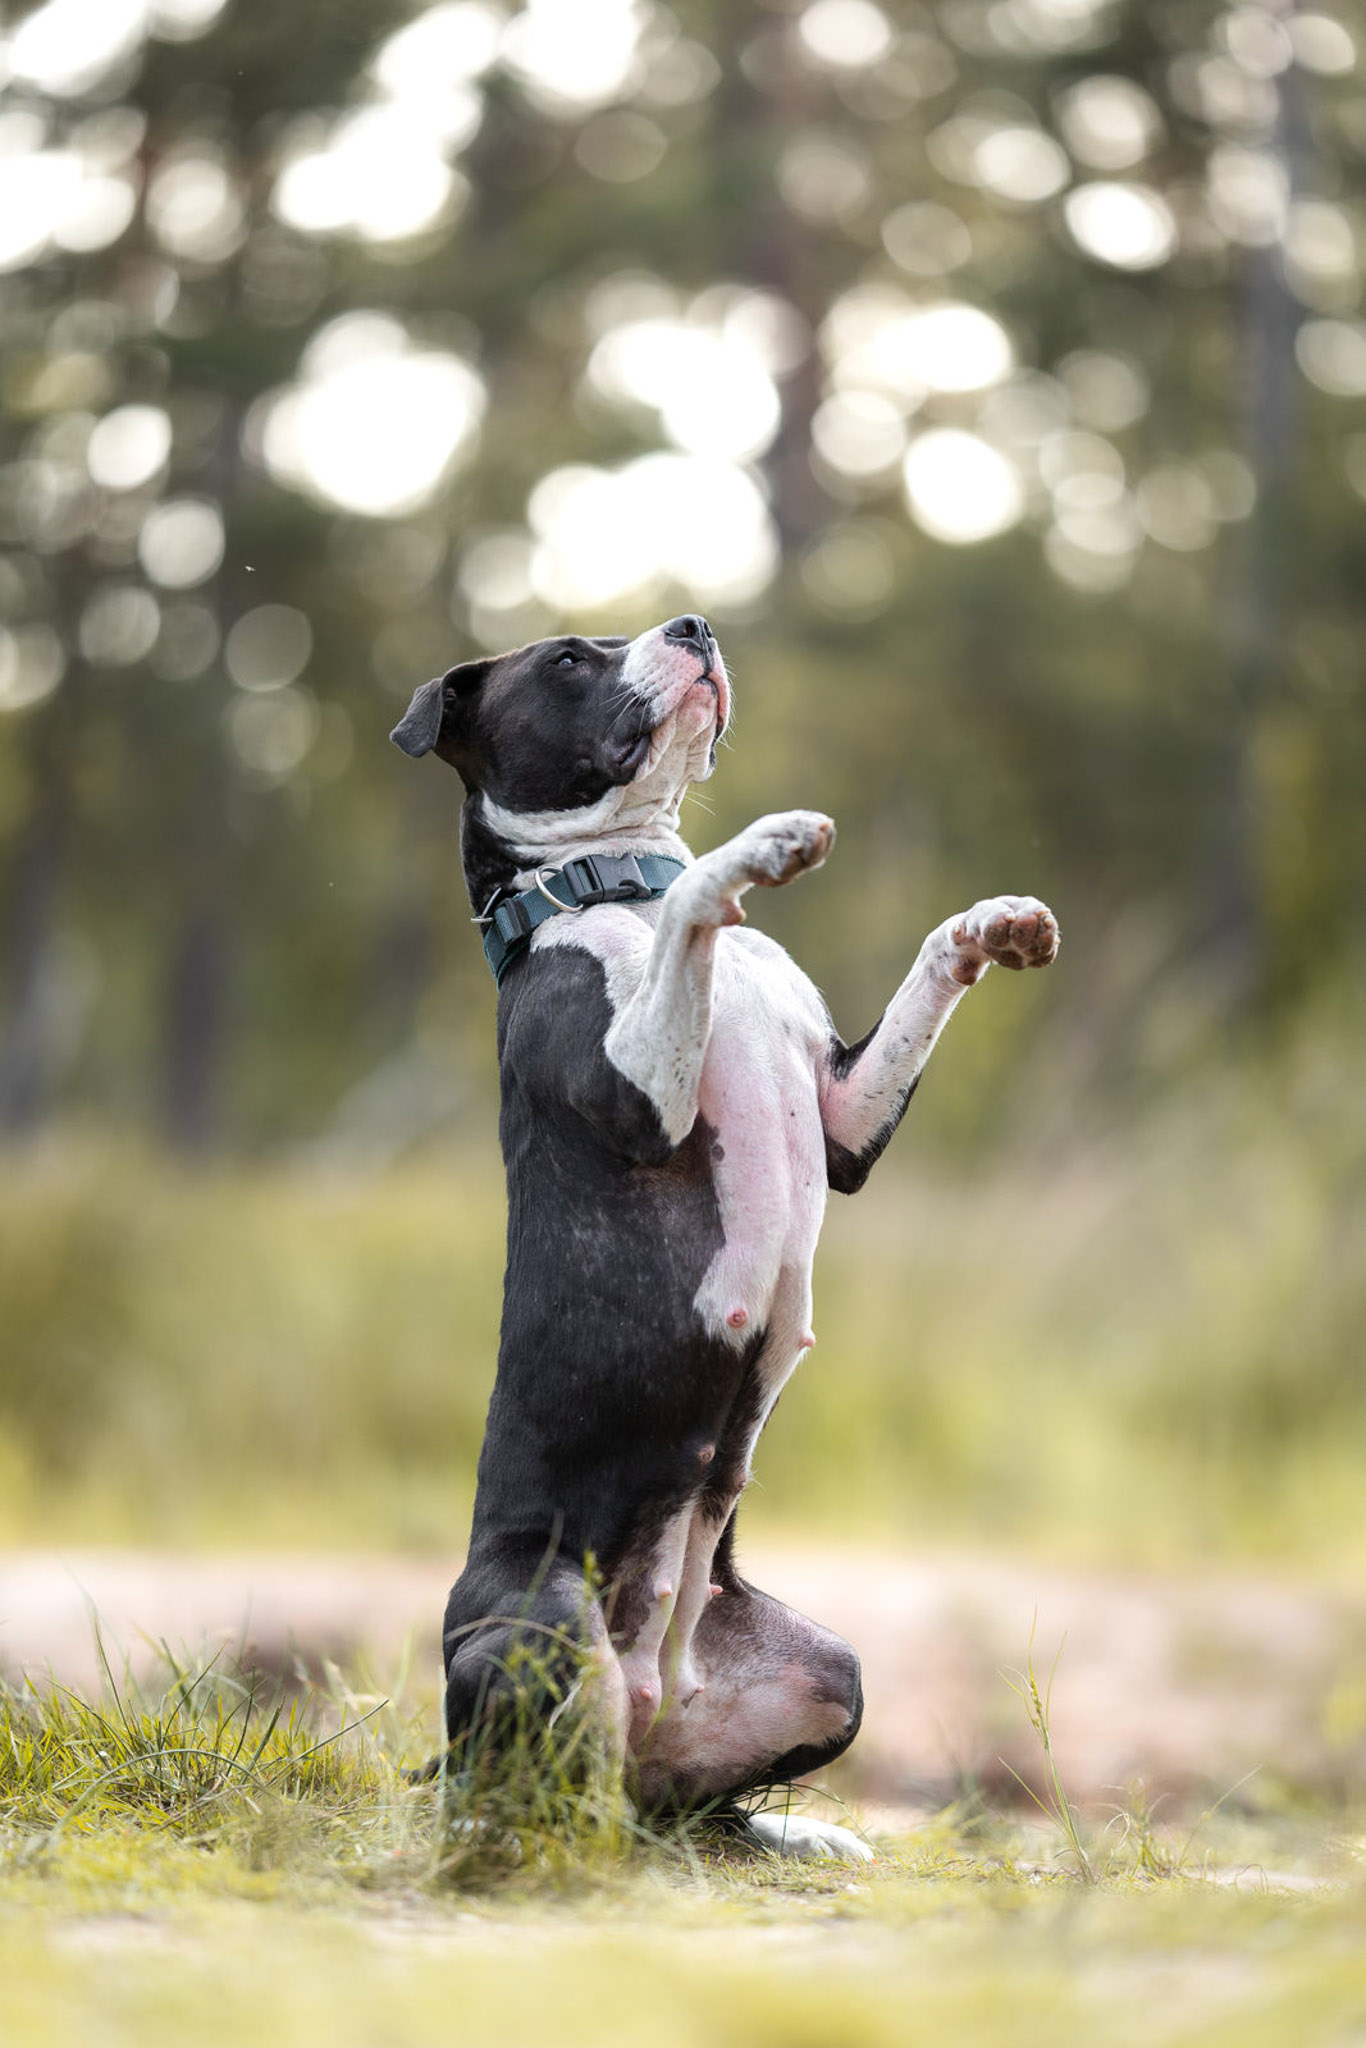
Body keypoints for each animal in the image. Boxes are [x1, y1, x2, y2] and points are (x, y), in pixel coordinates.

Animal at [392, 614, 1059, 1860]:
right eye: (568, 658)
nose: (694, 624)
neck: (612, 885)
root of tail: (652, 1688)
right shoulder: (638, 1099)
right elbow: (704, 890)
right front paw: (764, 843)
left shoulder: (844, 1117)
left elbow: (924, 971)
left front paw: (994, 923)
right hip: (535, 1633)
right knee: (514, 1788)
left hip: (827, 1670)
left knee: (669, 1800)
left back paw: (788, 1831)